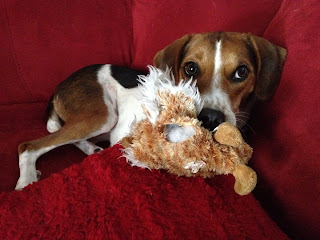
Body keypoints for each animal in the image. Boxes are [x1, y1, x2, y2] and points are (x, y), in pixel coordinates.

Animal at [15, 31, 286, 190]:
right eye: (190, 69)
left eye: (242, 72)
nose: (210, 117)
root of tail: (60, 86)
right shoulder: (122, 134)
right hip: (102, 117)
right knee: (29, 146)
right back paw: (26, 182)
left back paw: (92, 149)